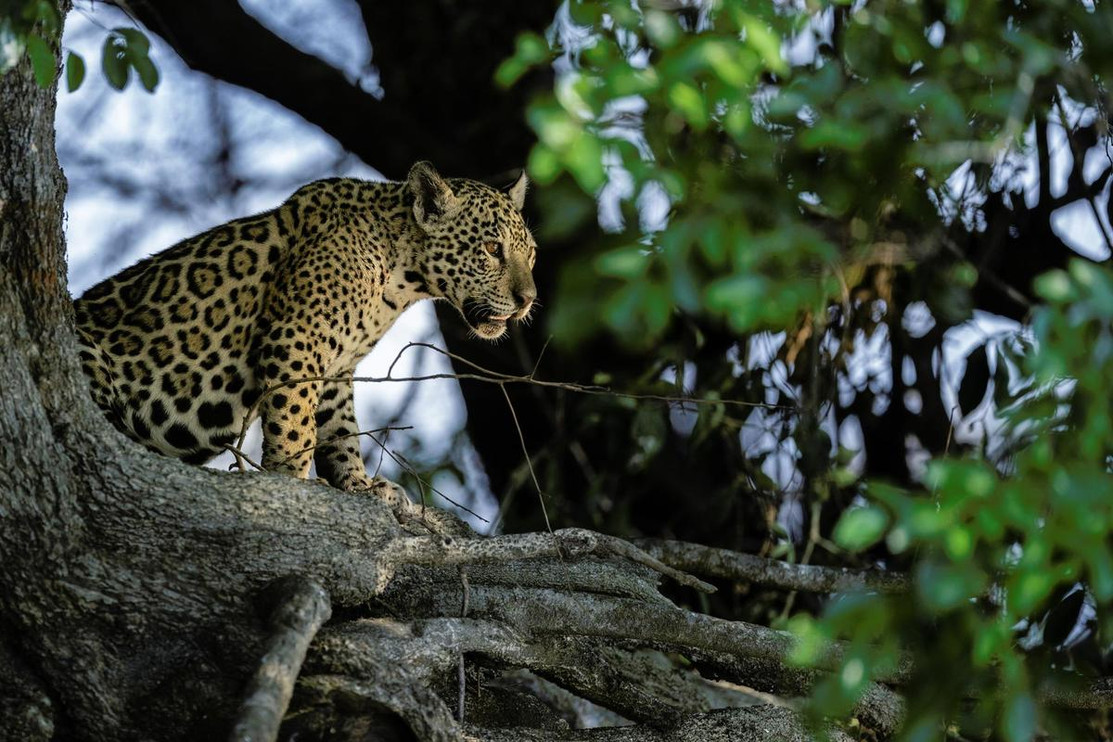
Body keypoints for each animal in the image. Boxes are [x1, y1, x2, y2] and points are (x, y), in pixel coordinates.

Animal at [74, 161, 537, 526]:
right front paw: (289, 479)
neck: (401, 276)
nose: (527, 300)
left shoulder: (337, 367)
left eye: (530, 253)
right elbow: (296, 419)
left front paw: (360, 484)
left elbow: (340, 430)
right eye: (491, 248)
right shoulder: (296, 337)